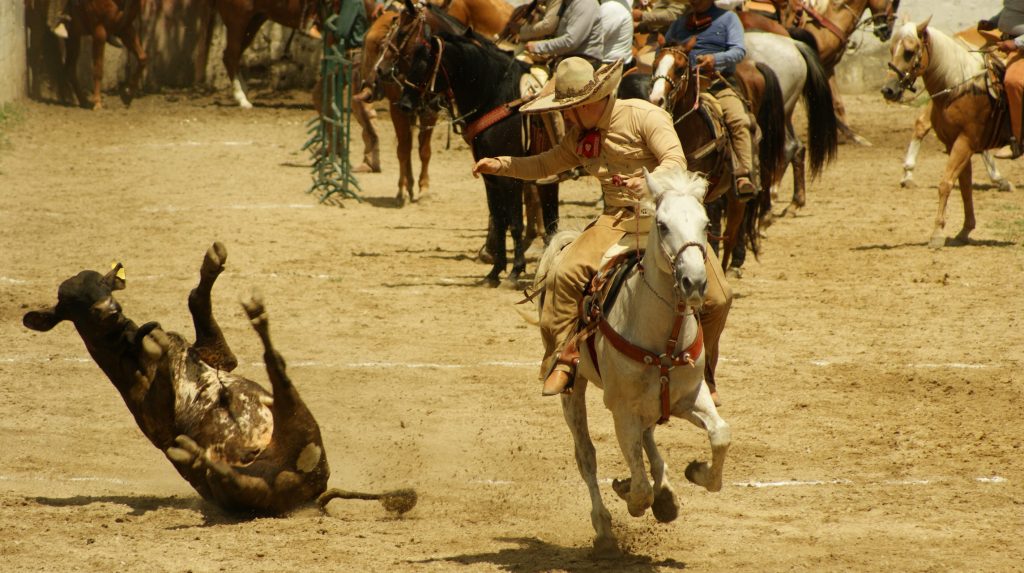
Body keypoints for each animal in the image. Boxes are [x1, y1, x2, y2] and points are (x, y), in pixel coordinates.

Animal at [540, 164, 733, 556]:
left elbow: (721, 435)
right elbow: (639, 489)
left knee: (648, 437)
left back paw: (666, 492)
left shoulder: (691, 397)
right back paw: (605, 528)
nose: (694, 282)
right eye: (662, 224)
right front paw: (630, 490)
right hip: (573, 392)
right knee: (586, 456)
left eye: (706, 224)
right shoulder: (623, 412)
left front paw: (695, 472)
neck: (664, 336)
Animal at [880, 19, 1007, 248]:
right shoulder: (955, 144)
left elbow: (946, 183)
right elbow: (963, 186)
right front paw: (964, 230)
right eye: (892, 49)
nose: (888, 90)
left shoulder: (965, 142)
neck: (962, 87)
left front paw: (937, 233)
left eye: (909, 52)